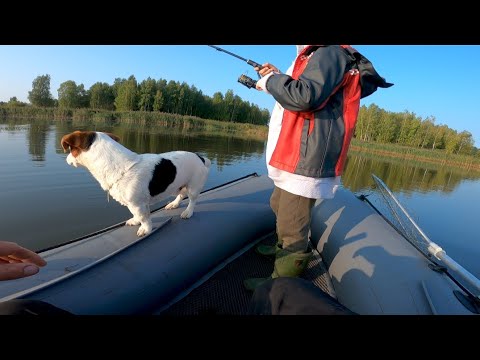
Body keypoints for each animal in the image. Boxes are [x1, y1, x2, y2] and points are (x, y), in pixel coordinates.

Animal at [60, 131, 210, 238]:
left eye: (71, 149)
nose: (66, 159)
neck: (121, 167)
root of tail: (201, 158)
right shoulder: (136, 204)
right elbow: (138, 215)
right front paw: (135, 221)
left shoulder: (137, 204)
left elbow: (144, 218)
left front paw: (146, 229)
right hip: (176, 186)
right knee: (180, 195)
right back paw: (174, 204)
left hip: (193, 187)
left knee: (192, 200)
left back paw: (188, 212)